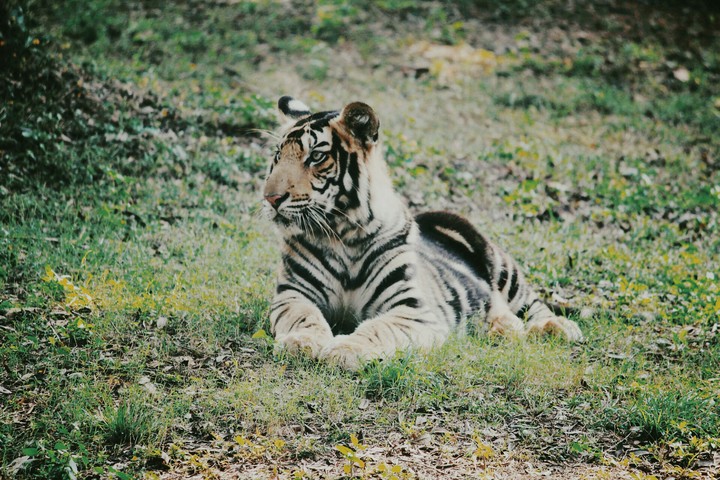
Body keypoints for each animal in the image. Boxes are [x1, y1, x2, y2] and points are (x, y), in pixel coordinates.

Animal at [262, 96, 583, 371]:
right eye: (278, 156)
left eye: (316, 157)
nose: (271, 198)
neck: (344, 234)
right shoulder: (293, 294)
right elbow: (304, 318)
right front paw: (300, 343)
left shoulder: (411, 309)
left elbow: (379, 328)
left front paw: (344, 350)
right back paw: (502, 328)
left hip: (501, 266)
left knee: (532, 304)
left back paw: (556, 328)